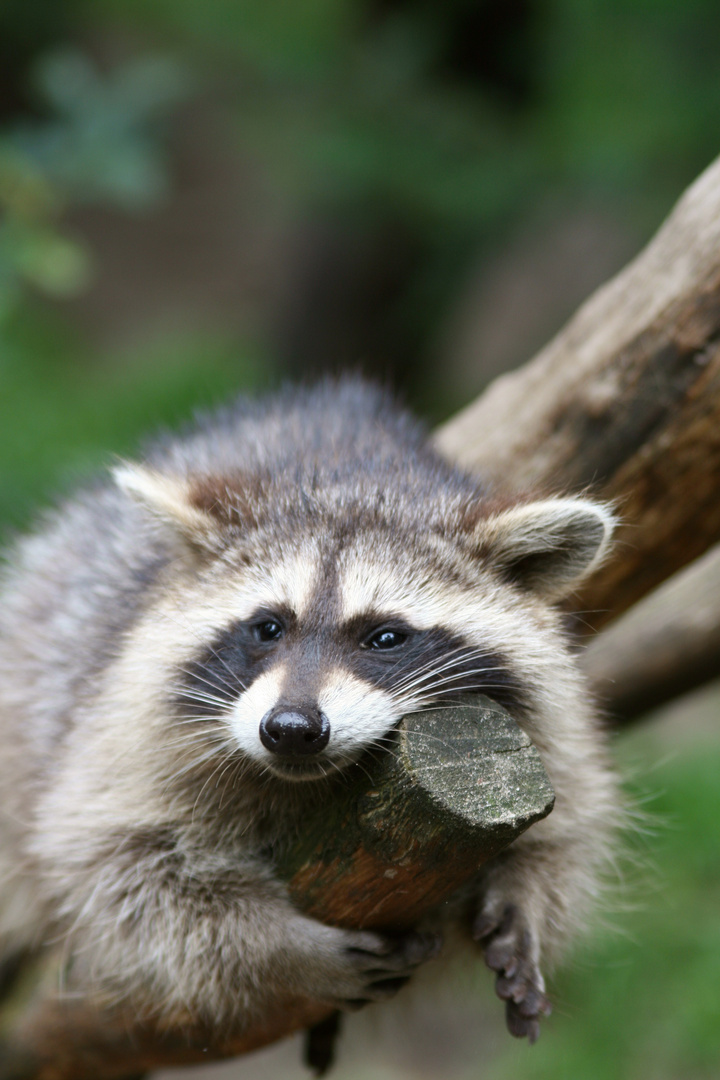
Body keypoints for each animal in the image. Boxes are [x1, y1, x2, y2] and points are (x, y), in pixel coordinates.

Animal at [0, 375, 621, 1058]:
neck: (347, 475)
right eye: (268, 627)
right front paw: (277, 947)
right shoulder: (121, 723)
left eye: (385, 637)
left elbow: (571, 819)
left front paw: (522, 898)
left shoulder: (546, 734)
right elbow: (113, 864)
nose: (291, 730)